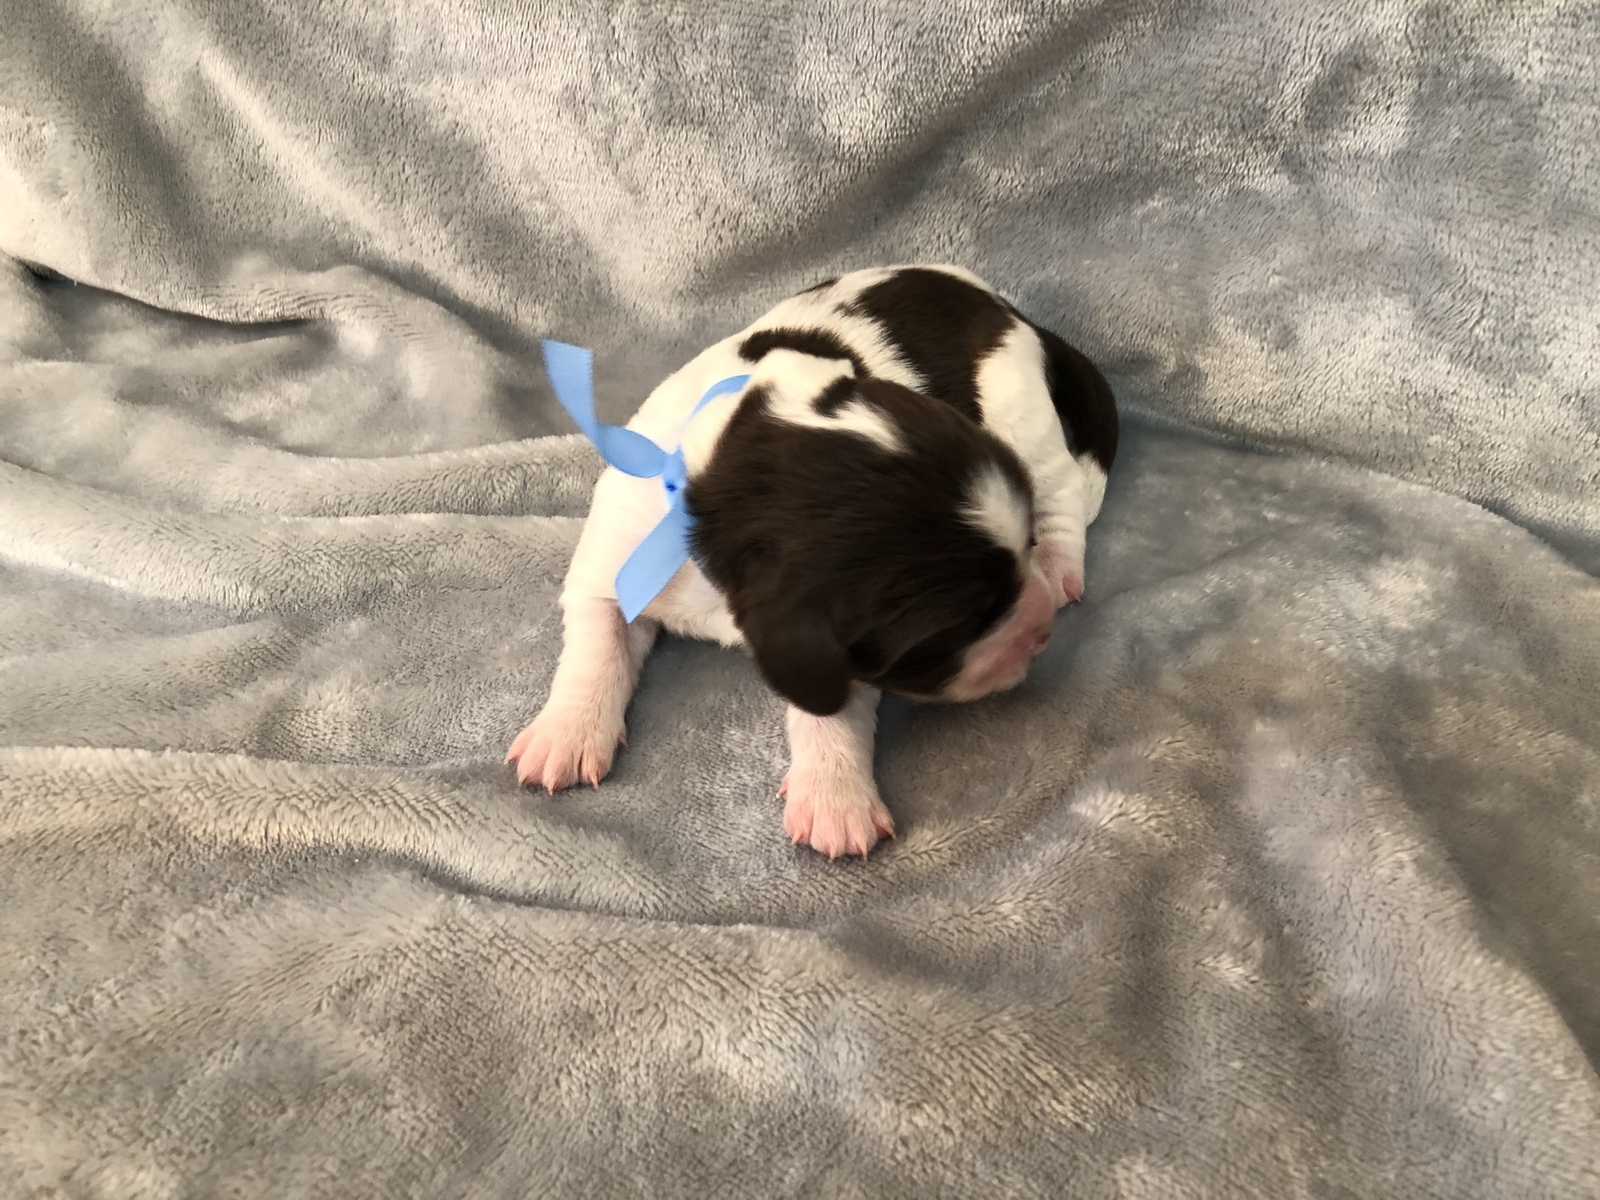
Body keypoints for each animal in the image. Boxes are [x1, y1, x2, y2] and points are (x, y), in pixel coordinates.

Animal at [507, 265, 1117, 859]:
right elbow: (596, 647)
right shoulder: (614, 554)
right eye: (962, 626)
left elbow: (832, 709)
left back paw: (1058, 563)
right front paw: (567, 734)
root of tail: (1003, 305)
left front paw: (835, 799)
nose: (1039, 634)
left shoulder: (835, 650)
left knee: (1060, 485)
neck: (718, 470)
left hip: (1016, 407)